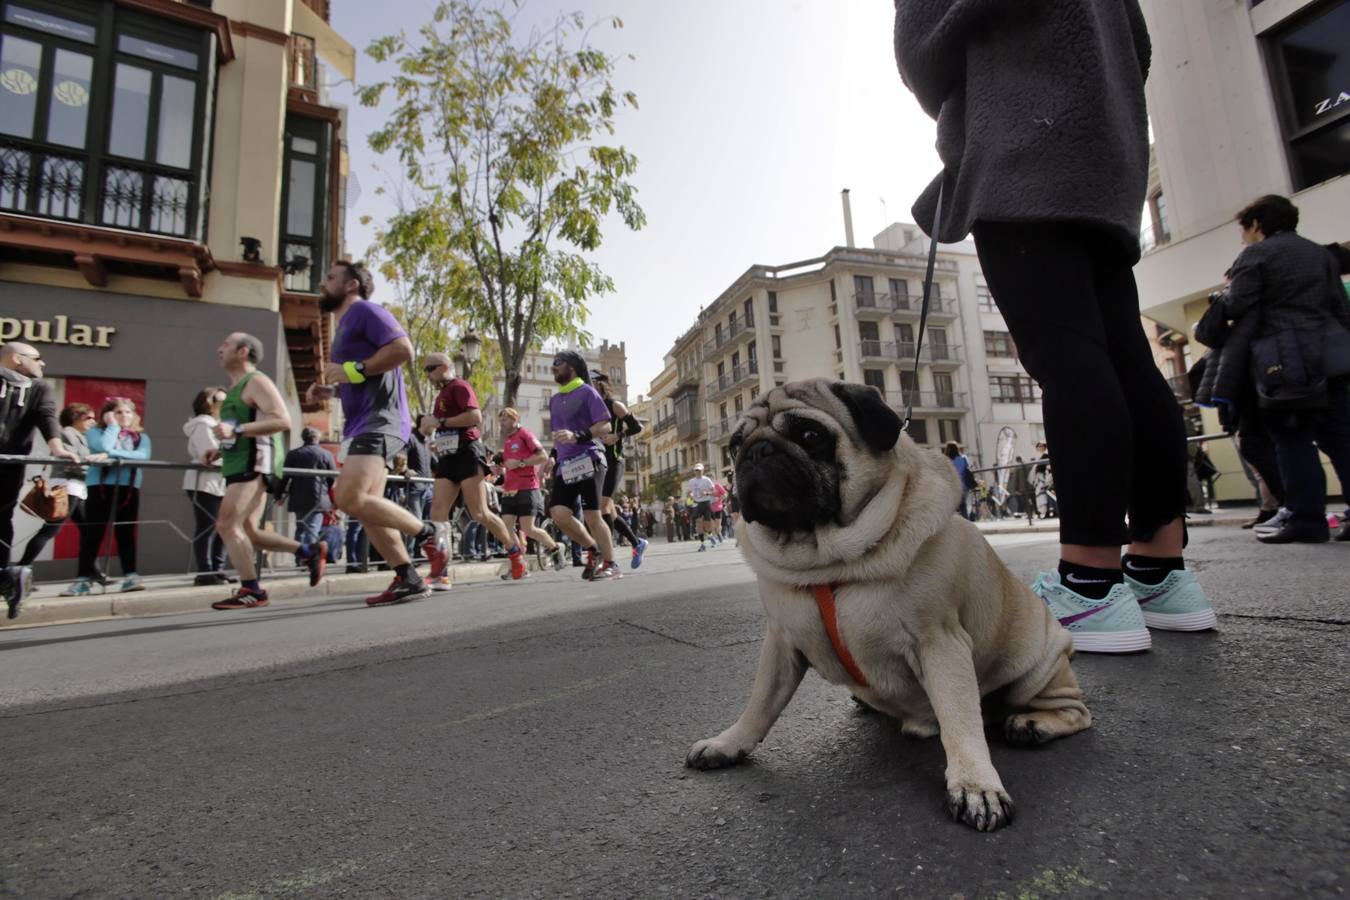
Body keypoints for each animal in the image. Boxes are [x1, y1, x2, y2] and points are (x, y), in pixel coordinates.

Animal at [691, 377, 1090, 831]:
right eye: (736, 444)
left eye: (810, 436)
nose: (757, 451)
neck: (827, 562)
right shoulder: (781, 643)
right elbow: (760, 704)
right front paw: (729, 743)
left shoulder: (940, 644)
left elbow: (960, 719)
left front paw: (976, 785)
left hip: (1037, 664)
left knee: (1074, 710)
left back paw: (1033, 723)